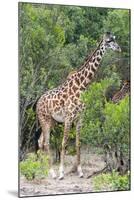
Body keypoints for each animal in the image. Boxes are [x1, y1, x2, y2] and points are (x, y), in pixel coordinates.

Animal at [36, 31, 121, 180]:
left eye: (115, 39)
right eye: (109, 41)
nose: (119, 48)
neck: (82, 85)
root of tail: (37, 103)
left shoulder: (80, 118)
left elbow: (78, 143)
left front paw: (80, 172)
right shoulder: (69, 118)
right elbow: (64, 143)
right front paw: (61, 173)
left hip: (52, 121)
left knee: (41, 141)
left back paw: (45, 170)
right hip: (44, 119)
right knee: (46, 142)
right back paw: (52, 172)